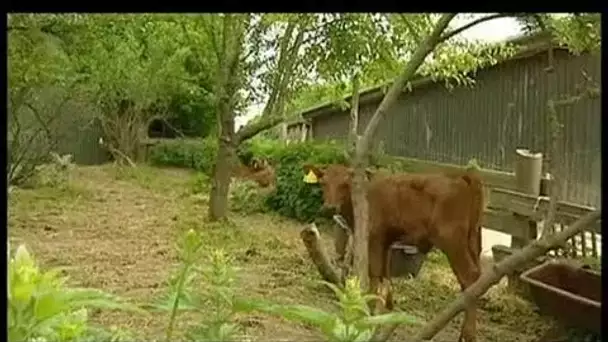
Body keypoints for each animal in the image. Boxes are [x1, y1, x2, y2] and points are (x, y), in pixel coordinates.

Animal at [304, 164, 484, 342]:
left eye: (345, 184)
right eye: (323, 183)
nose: (330, 208)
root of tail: (462, 175)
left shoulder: (375, 238)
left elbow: (375, 273)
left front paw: (369, 309)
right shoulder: (387, 243)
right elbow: (385, 274)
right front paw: (388, 307)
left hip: (451, 241)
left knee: (469, 276)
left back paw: (469, 334)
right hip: (473, 241)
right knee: (474, 279)